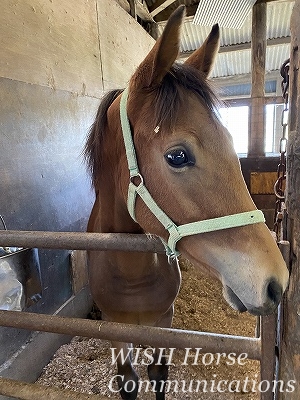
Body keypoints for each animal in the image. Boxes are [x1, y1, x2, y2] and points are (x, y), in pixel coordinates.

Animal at [84, 6, 288, 400]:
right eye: (177, 156)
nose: (277, 282)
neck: (131, 273)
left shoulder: (165, 321)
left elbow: (159, 373)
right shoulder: (115, 328)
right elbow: (128, 380)